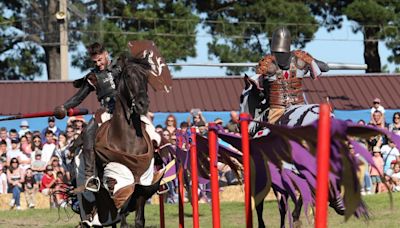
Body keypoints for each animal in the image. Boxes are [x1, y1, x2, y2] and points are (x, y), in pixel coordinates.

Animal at [73, 55, 162, 228]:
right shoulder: (116, 181)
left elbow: (139, 220)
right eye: (128, 76)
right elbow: (122, 215)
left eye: (145, 77)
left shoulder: (141, 183)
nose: (143, 103)